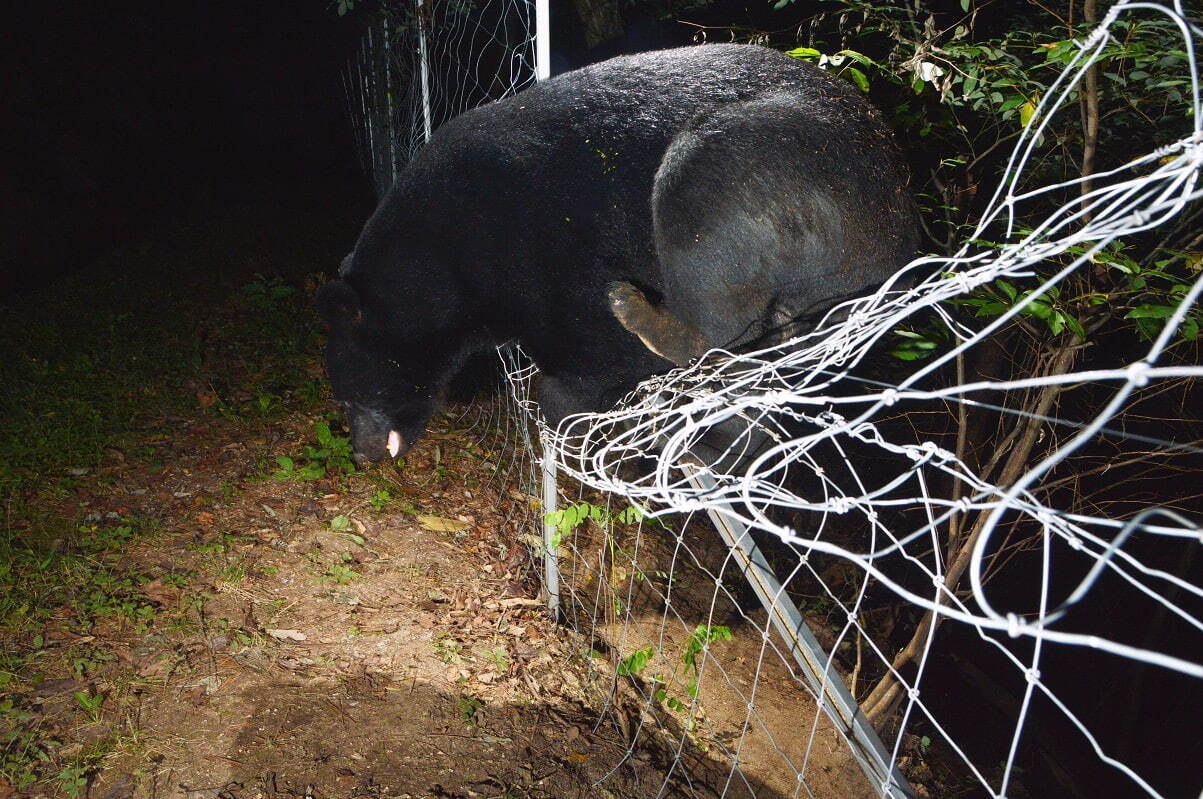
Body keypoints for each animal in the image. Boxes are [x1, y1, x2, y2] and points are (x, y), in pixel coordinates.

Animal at [315, 43, 914, 464]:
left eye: (347, 396)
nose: (361, 453)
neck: (445, 259)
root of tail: (900, 215)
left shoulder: (542, 245)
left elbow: (587, 350)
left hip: (786, 165)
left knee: (706, 231)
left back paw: (646, 320)